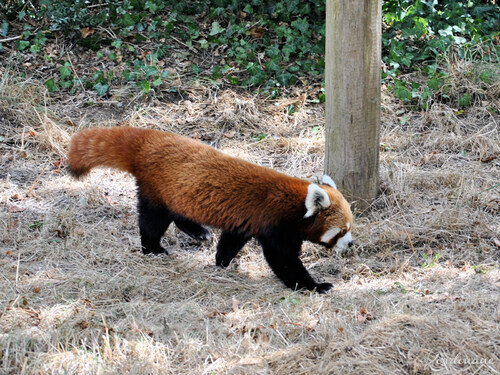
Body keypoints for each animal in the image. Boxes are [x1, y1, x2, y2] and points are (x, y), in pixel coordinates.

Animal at [67, 126, 356, 294]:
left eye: (350, 228)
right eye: (342, 231)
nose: (352, 244)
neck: (295, 203)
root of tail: (149, 140)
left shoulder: (245, 222)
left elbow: (232, 240)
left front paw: (222, 262)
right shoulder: (274, 224)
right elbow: (284, 260)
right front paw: (315, 286)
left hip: (178, 191)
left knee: (176, 214)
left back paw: (200, 233)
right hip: (157, 188)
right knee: (152, 220)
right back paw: (153, 248)